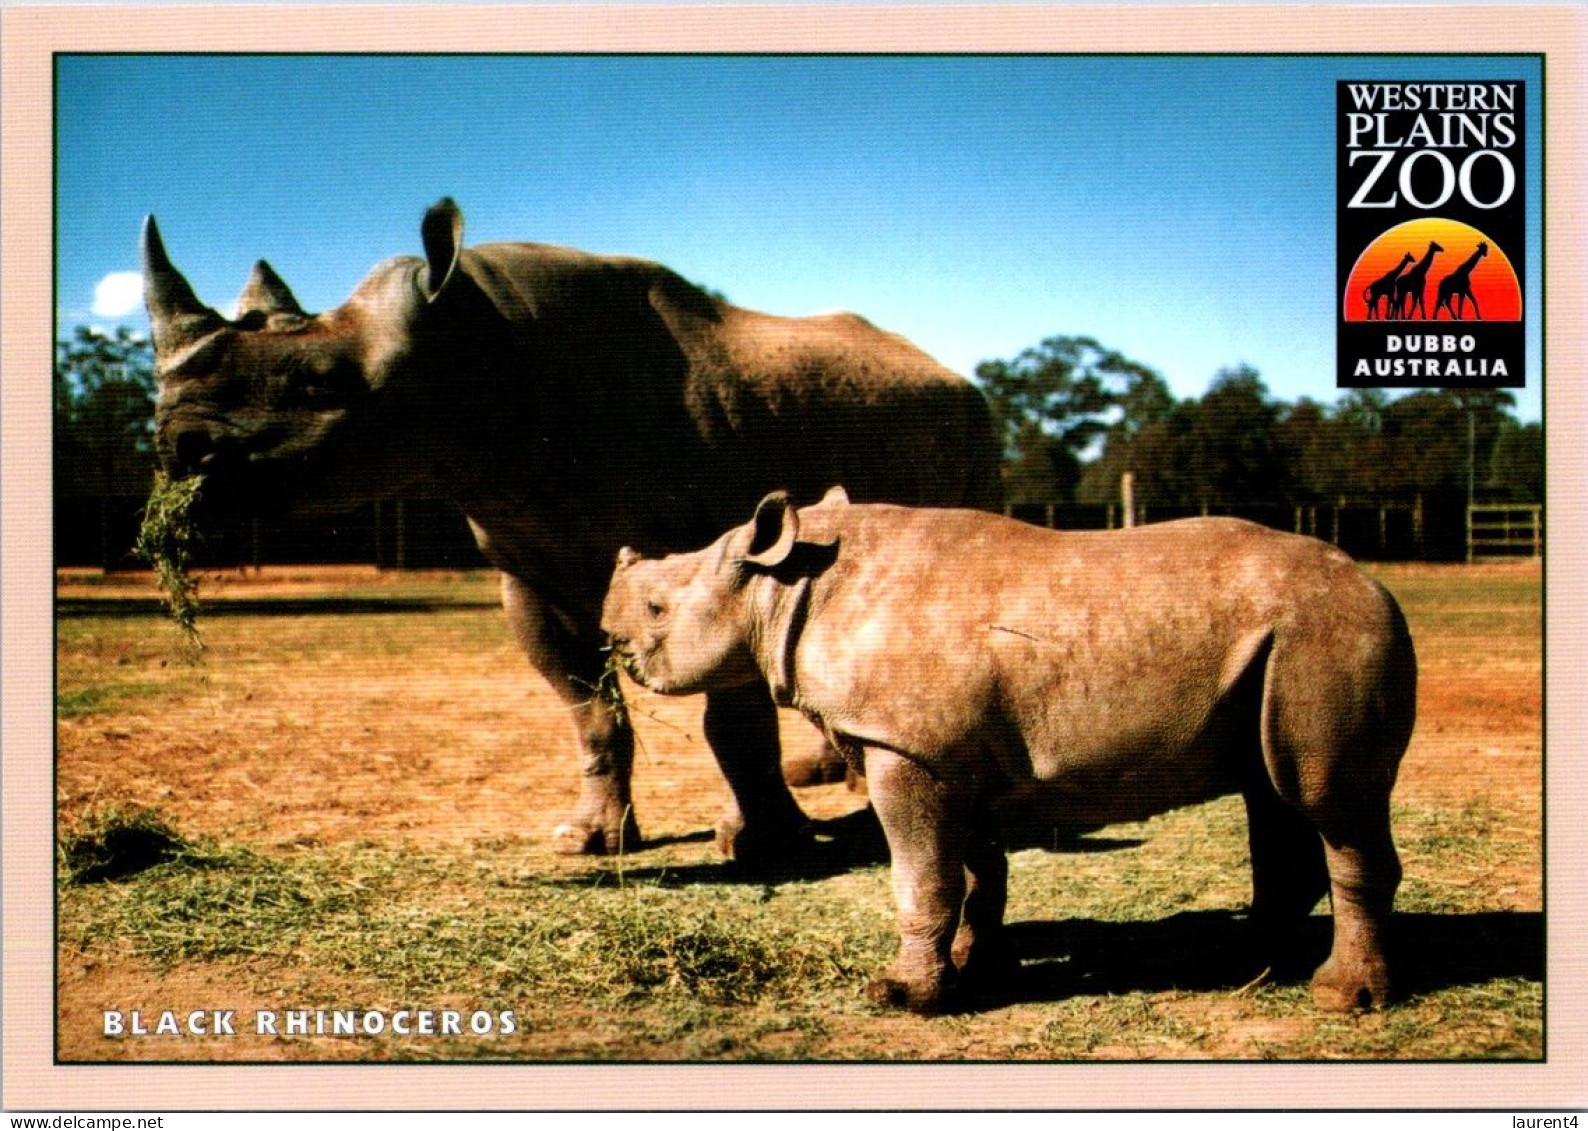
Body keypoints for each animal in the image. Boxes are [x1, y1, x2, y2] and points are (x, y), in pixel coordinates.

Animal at [603, 489, 1416, 1010]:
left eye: (657, 609)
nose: (611, 640)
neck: (784, 588)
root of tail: (1376, 583)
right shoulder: (941, 753)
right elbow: (973, 870)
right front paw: (974, 967)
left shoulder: (907, 748)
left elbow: (922, 876)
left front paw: (902, 995)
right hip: (1292, 644)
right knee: (1273, 792)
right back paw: (1251, 965)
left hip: (1331, 638)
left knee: (1329, 803)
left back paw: (1342, 998)